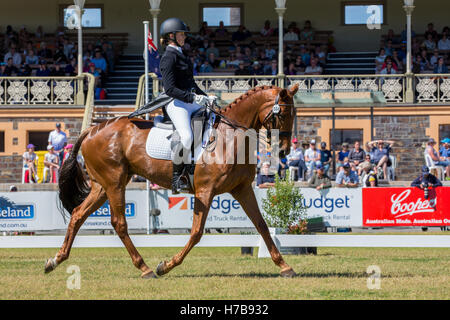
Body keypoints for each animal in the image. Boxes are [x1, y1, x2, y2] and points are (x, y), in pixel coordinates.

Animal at [44, 84, 298, 278]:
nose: (284, 152)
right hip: (114, 183)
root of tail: (92, 130)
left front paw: (285, 266)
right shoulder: (205, 191)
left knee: (78, 215)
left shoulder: (242, 189)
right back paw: (145, 268)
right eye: (283, 115)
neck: (229, 136)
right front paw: (165, 266)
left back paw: (55, 260)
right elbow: (196, 233)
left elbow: (262, 225)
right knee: (119, 223)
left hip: (102, 186)